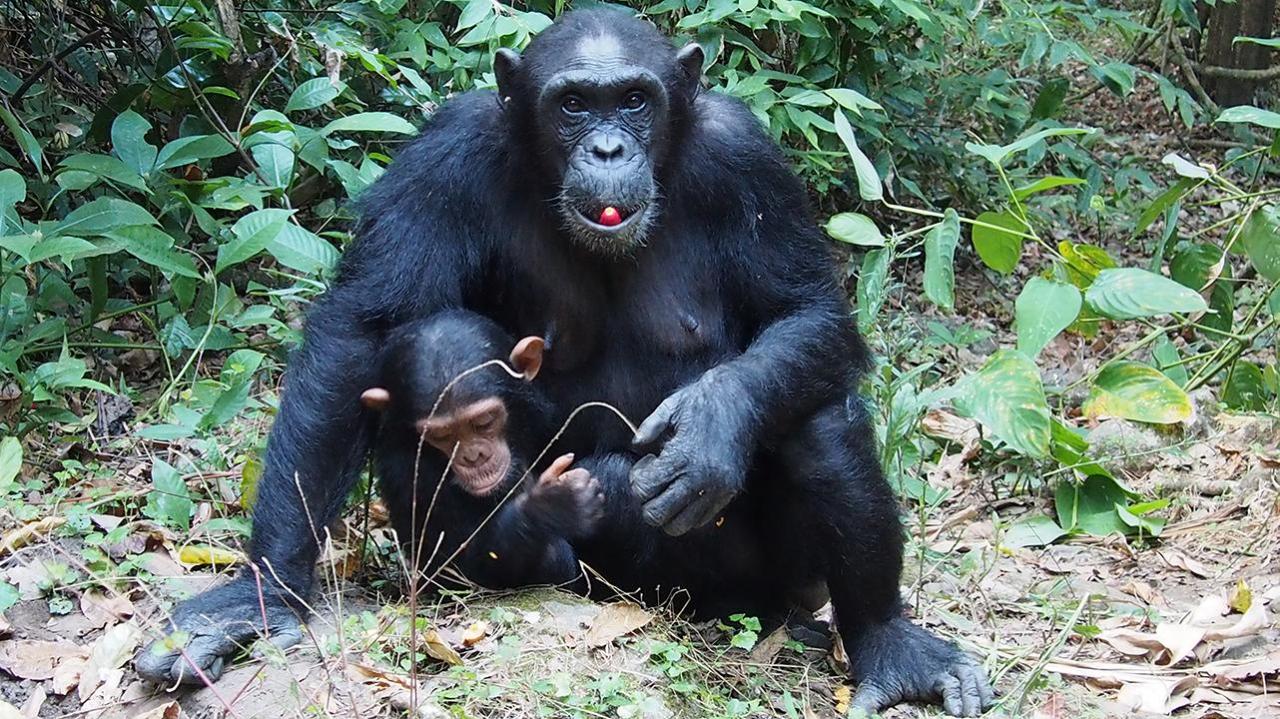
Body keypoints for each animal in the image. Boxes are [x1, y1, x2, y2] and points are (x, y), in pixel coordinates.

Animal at [358, 310, 601, 591]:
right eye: (441, 435)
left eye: (484, 421)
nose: (474, 457)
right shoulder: (404, 470)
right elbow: (460, 568)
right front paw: (552, 505)